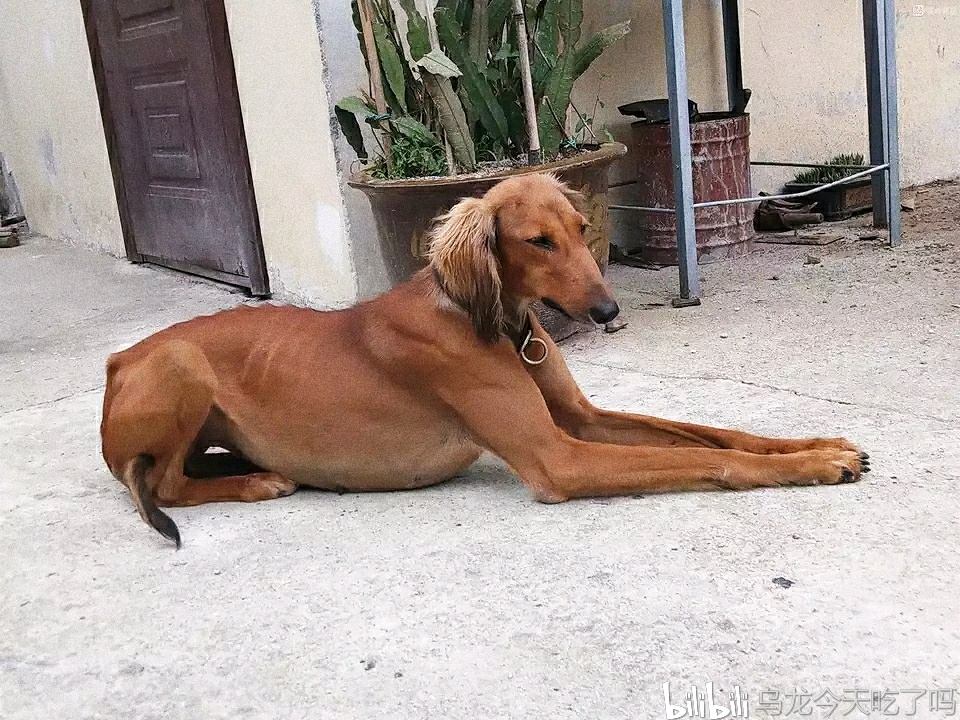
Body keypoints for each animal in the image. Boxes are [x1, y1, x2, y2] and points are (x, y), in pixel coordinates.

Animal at [101, 174, 868, 544]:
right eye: (538, 241)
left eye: (582, 229)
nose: (608, 312)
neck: (495, 323)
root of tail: (117, 358)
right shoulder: (558, 456)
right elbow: (708, 460)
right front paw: (812, 466)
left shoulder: (579, 419)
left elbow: (716, 433)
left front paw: (820, 443)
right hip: (180, 361)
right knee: (165, 485)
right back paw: (258, 483)